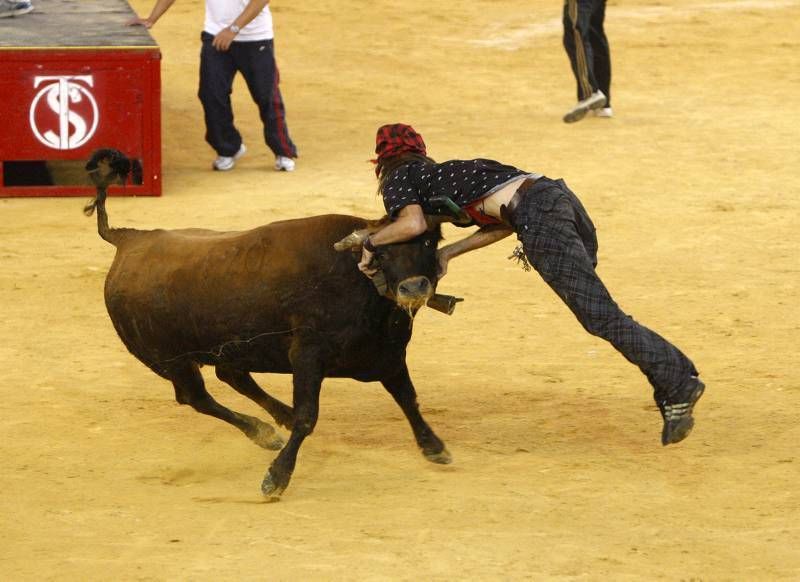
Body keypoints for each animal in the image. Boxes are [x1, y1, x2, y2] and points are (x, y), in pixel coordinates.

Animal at [86, 151, 454, 502]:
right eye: (382, 250)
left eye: (428, 242)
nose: (414, 288)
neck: (359, 282)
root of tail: (125, 241)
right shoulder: (307, 355)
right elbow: (308, 416)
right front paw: (276, 478)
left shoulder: (389, 355)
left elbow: (408, 398)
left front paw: (434, 446)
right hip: (168, 361)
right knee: (197, 397)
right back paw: (263, 432)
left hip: (230, 346)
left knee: (231, 377)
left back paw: (278, 420)